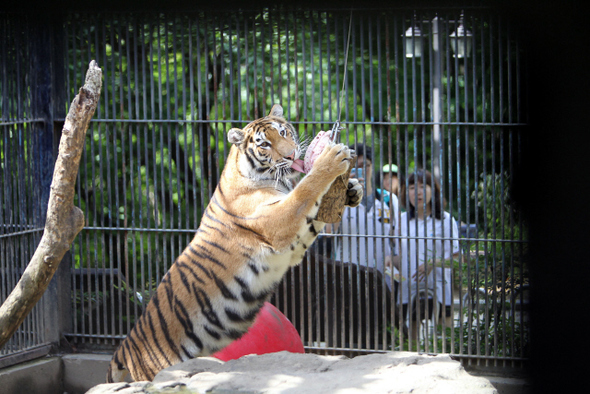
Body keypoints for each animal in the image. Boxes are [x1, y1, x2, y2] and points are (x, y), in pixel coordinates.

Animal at [107, 104, 366, 382]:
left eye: (283, 132)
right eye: (264, 144)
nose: (291, 154)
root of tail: (124, 349)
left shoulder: (292, 246)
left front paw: (353, 189)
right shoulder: (278, 223)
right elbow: (305, 191)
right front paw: (331, 159)